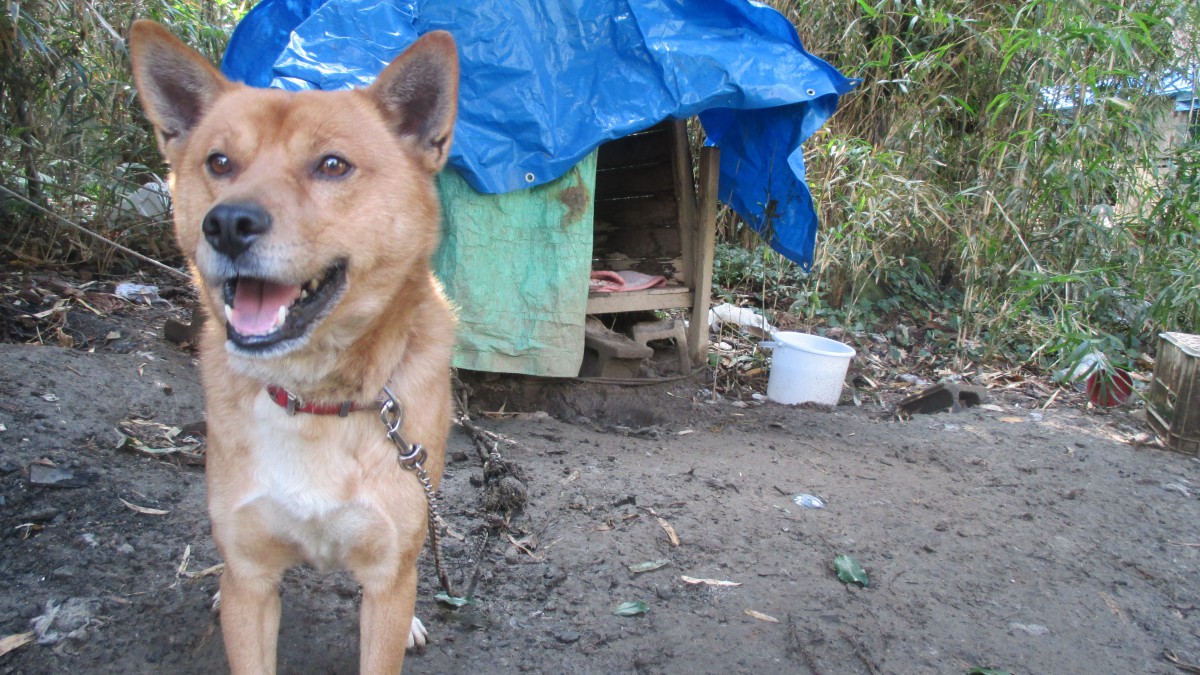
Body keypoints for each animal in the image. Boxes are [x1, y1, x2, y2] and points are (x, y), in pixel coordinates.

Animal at [130, 21, 458, 672]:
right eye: (219, 162)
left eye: (332, 165)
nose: (226, 224)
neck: (315, 400)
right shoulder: (252, 579)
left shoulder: (387, 577)